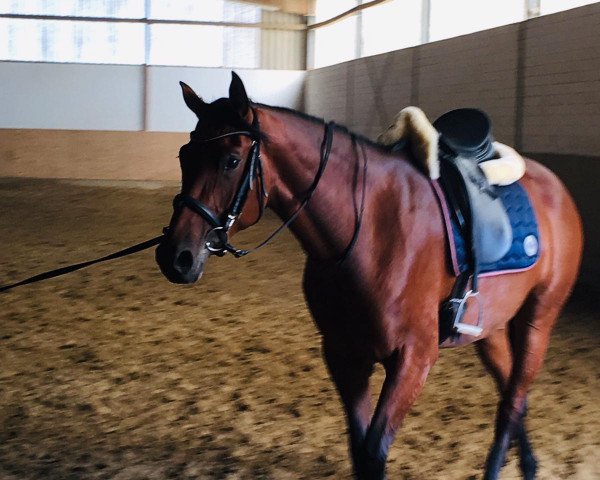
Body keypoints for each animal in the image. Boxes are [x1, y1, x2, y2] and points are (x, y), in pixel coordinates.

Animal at [155, 73, 580, 478]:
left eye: (230, 160)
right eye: (184, 155)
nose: (175, 256)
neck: (370, 228)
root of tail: (555, 187)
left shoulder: (413, 358)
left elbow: (374, 453)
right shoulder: (345, 354)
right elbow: (359, 450)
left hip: (538, 319)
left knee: (513, 401)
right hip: (490, 329)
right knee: (513, 395)